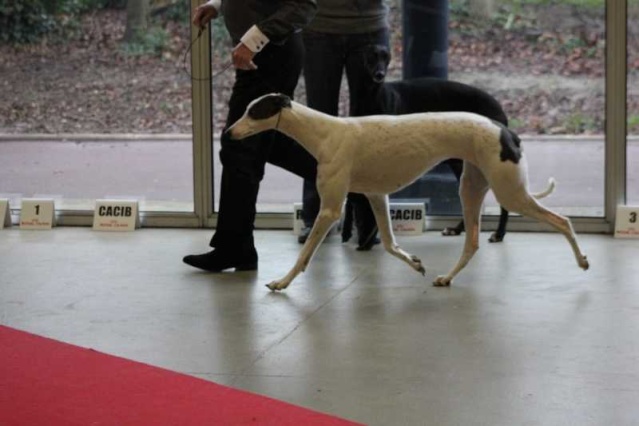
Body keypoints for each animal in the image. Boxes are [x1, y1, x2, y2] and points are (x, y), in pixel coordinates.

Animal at [226, 93, 592, 292]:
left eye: (253, 111)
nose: (228, 133)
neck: (325, 133)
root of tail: (506, 130)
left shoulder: (331, 209)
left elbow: (304, 255)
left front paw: (281, 282)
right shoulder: (376, 196)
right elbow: (389, 244)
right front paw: (415, 263)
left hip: (508, 193)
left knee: (562, 221)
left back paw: (583, 260)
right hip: (471, 188)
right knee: (472, 242)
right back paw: (446, 278)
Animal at [342, 45, 512, 245]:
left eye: (386, 57)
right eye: (371, 56)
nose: (379, 74)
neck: (372, 97)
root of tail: (500, 109)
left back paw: (499, 233)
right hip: (460, 163)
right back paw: (457, 229)